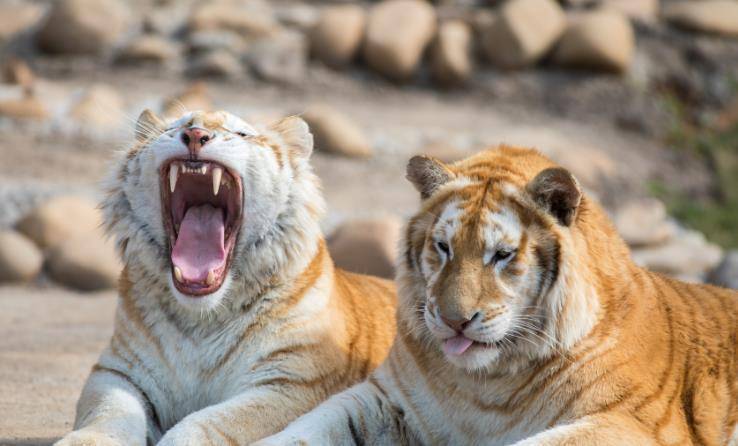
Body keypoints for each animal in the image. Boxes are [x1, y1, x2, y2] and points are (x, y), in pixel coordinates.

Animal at [55, 109, 397, 446]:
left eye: (241, 133)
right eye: (177, 126)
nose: (195, 135)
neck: (200, 320)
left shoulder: (291, 383)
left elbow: (211, 422)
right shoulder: (120, 371)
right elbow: (109, 412)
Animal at [258, 146, 738, 446]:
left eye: (502, 255)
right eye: (443, 247)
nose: (455, 321)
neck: (484, 387)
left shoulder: (629, 424)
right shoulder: (384, 399)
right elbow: (300, 431)